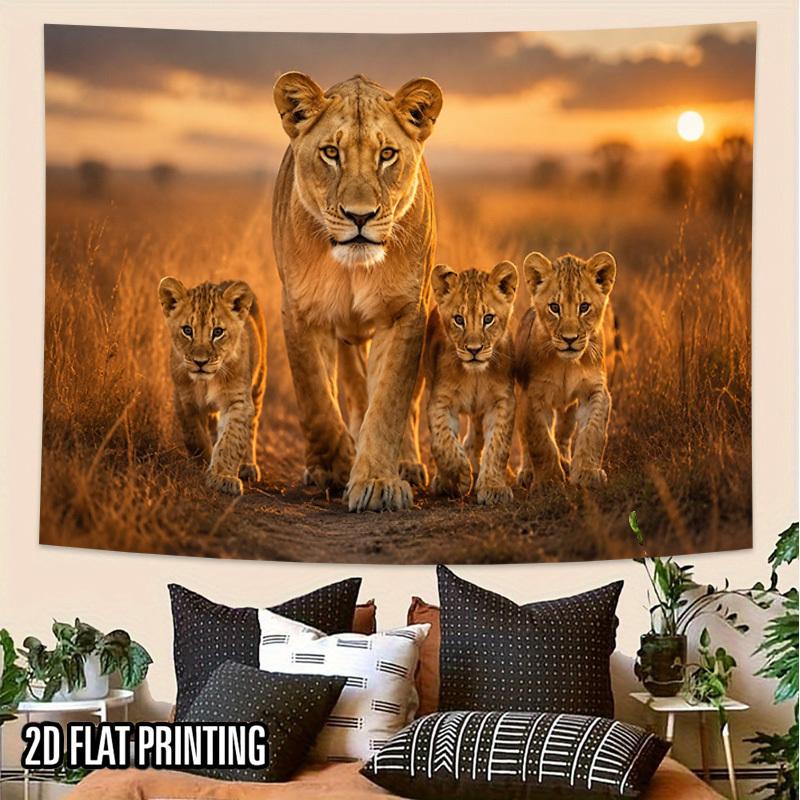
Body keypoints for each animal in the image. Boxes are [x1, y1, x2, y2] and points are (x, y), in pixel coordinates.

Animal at [158, 278, 267, 496]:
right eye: (187, 330)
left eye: (218, 332)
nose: (200, 362)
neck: (206, 382)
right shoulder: (184, 400)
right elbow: (194, 436)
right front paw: (203, 463)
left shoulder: (238, 401)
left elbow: (232, 439)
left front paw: (222, 477)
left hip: (259, 382)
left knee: (252, 427)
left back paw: (248, 466)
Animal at [271, 72, 442, 512]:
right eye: (331, 152)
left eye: (387, 154)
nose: (360, 216)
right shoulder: (299, 310)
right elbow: (315, 395)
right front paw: (335, 466)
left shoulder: (404, 313)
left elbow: (389, 403)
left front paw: (378, 481)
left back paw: (408, 464)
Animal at [425, 262, 518, 506]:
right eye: (459, 319)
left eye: (488, 319)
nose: (474, 350)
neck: (475, 375)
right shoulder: (439, 400)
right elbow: (443, 442)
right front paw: (458, 478)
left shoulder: (503, 400)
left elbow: (498, 445)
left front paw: (494, 487)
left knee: (476, 430)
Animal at [515, 251, 617, 488]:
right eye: (554, 307)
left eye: (584, 307)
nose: (570, 339)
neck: (567, 364)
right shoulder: (532, 394)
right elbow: (540, 440)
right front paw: (549, 480)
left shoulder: (596, 390)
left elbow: (593, 431)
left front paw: (587, 474)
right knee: (524, 437)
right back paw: (527, 472)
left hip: (568, 407)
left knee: (563, 433)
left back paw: (566, 461)